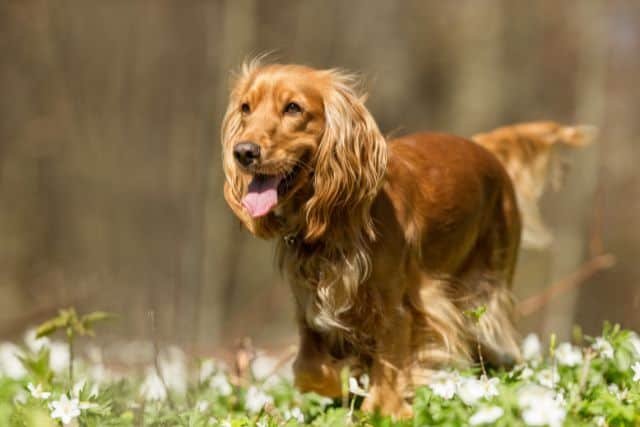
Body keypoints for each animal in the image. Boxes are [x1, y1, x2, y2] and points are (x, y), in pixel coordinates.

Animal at [221, 61, 596, 418]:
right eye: (245, 108)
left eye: (293, 108)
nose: (243, 152)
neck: (336, 224)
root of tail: (483, 146)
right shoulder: (309, 310)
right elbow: (314, 371)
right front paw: (349, 379)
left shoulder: (400, 307)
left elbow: (388, 372)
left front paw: (386, 406)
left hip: (485, 291)